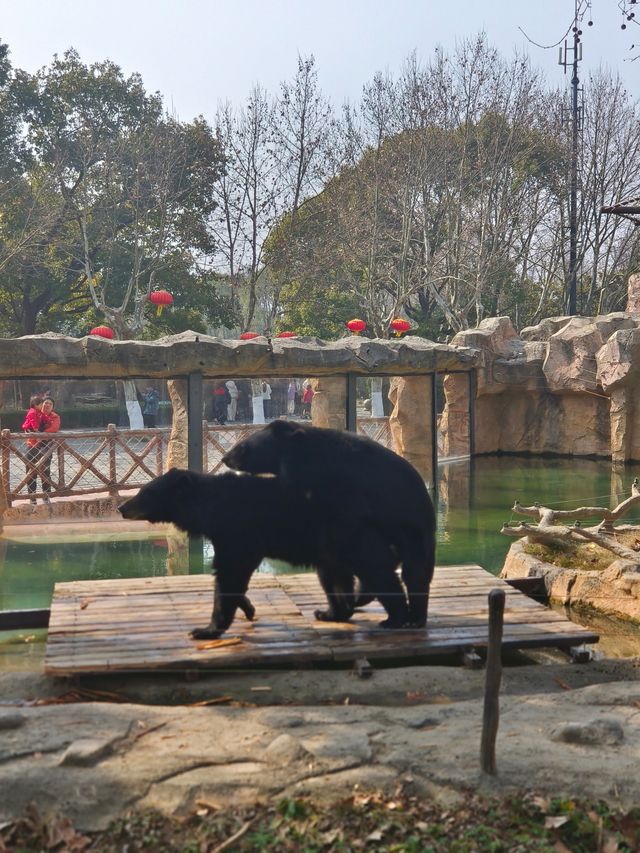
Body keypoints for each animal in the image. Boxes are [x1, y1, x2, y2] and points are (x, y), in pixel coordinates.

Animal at [118, 466, 408, 640]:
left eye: (144, 492)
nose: (122, 507)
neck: (211, 506)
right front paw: (247, 607)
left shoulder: (238, 529)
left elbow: (231, 570)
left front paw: (206, 629)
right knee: (335, 576)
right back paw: (333, 612)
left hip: (351, 533)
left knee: (376, 569)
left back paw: (395, 616)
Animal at [222, 418, 438, 624]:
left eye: (242, 447)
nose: (225, 458)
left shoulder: (321, 477)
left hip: (412, 530)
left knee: (412, 571)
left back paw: (411, 617)